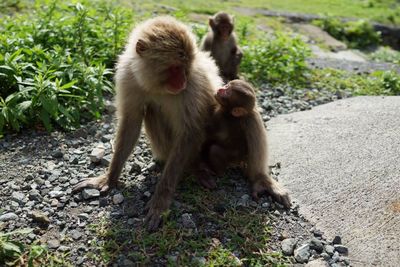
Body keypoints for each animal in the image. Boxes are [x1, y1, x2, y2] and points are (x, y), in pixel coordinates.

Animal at [72, 16, 222, 230]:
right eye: (175, 67)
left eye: (185, 67)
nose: (182, 82)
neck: (157, 86)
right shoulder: (129, 77)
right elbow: (131, 122)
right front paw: (110, 177)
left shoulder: (193, 84)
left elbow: (189, 132)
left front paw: (161, 200)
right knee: (151, 111)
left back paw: (194, 167)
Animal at [199, 79, 290, 209]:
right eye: (227, 86)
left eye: (227, 92)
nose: (220, 89)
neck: (228, 113)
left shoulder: (224, 117)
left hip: (234, 158)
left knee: (215, 150)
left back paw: (215, 171)